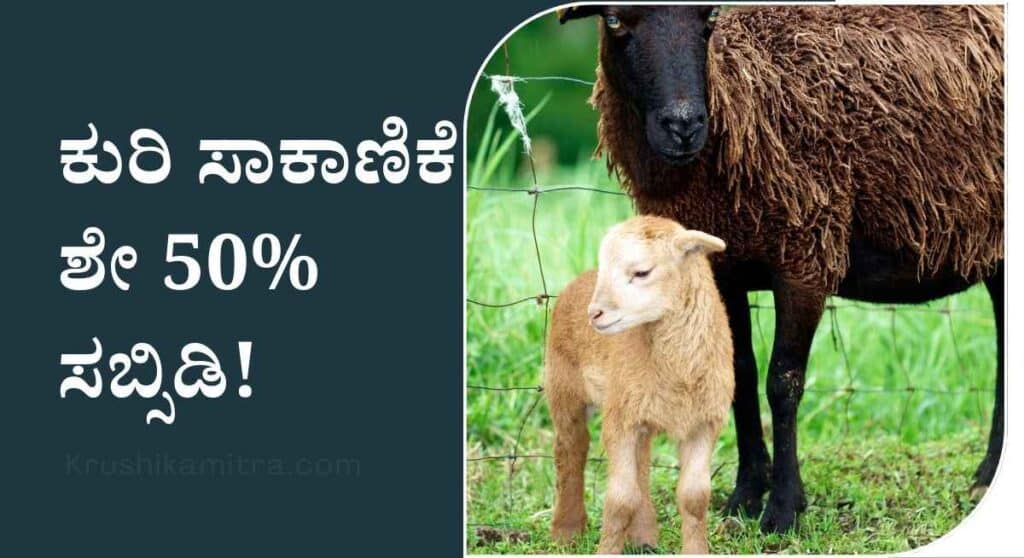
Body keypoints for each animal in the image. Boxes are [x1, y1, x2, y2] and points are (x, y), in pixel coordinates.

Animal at [545, 215, 734, 554]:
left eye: (642, 272)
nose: (595, 314)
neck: (678, 372)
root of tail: (577, 283)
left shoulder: (703, 423)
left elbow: (695, 497)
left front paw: (696, 550)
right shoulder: (619, 422)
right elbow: (620, 500)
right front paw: (607, 550)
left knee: (641, 463)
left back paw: (643, 536)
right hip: (563, 386)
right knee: (570, 449)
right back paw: (566, 531)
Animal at [558, 5, 1004, 533]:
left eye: (708, 16)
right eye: (614, 21)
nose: (684, 125)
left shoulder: (806, 257)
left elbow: (783, 383)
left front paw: (784, 508)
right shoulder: (721, 270)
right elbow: (740, 374)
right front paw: (744, 496)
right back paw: (989, 472)